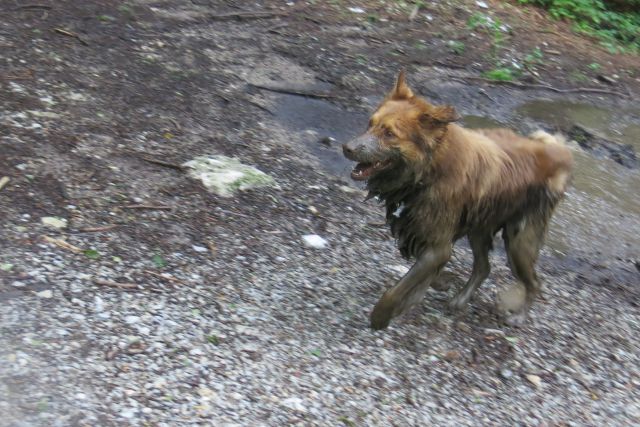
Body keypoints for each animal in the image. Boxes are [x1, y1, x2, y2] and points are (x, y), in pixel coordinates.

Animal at [342, 72, 572, 330]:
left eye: (389, 133)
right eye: (370, 123)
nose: (346, 148)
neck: (428, 174)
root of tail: (559, 153)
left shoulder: (438, 247)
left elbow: (396, 290)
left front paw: (381, 317)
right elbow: (417, 283)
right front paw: (412, 299)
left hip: (519, 243)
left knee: (534, 282)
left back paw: (519, 316)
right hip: (479, 230)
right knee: (484, 267)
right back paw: (460, 300)